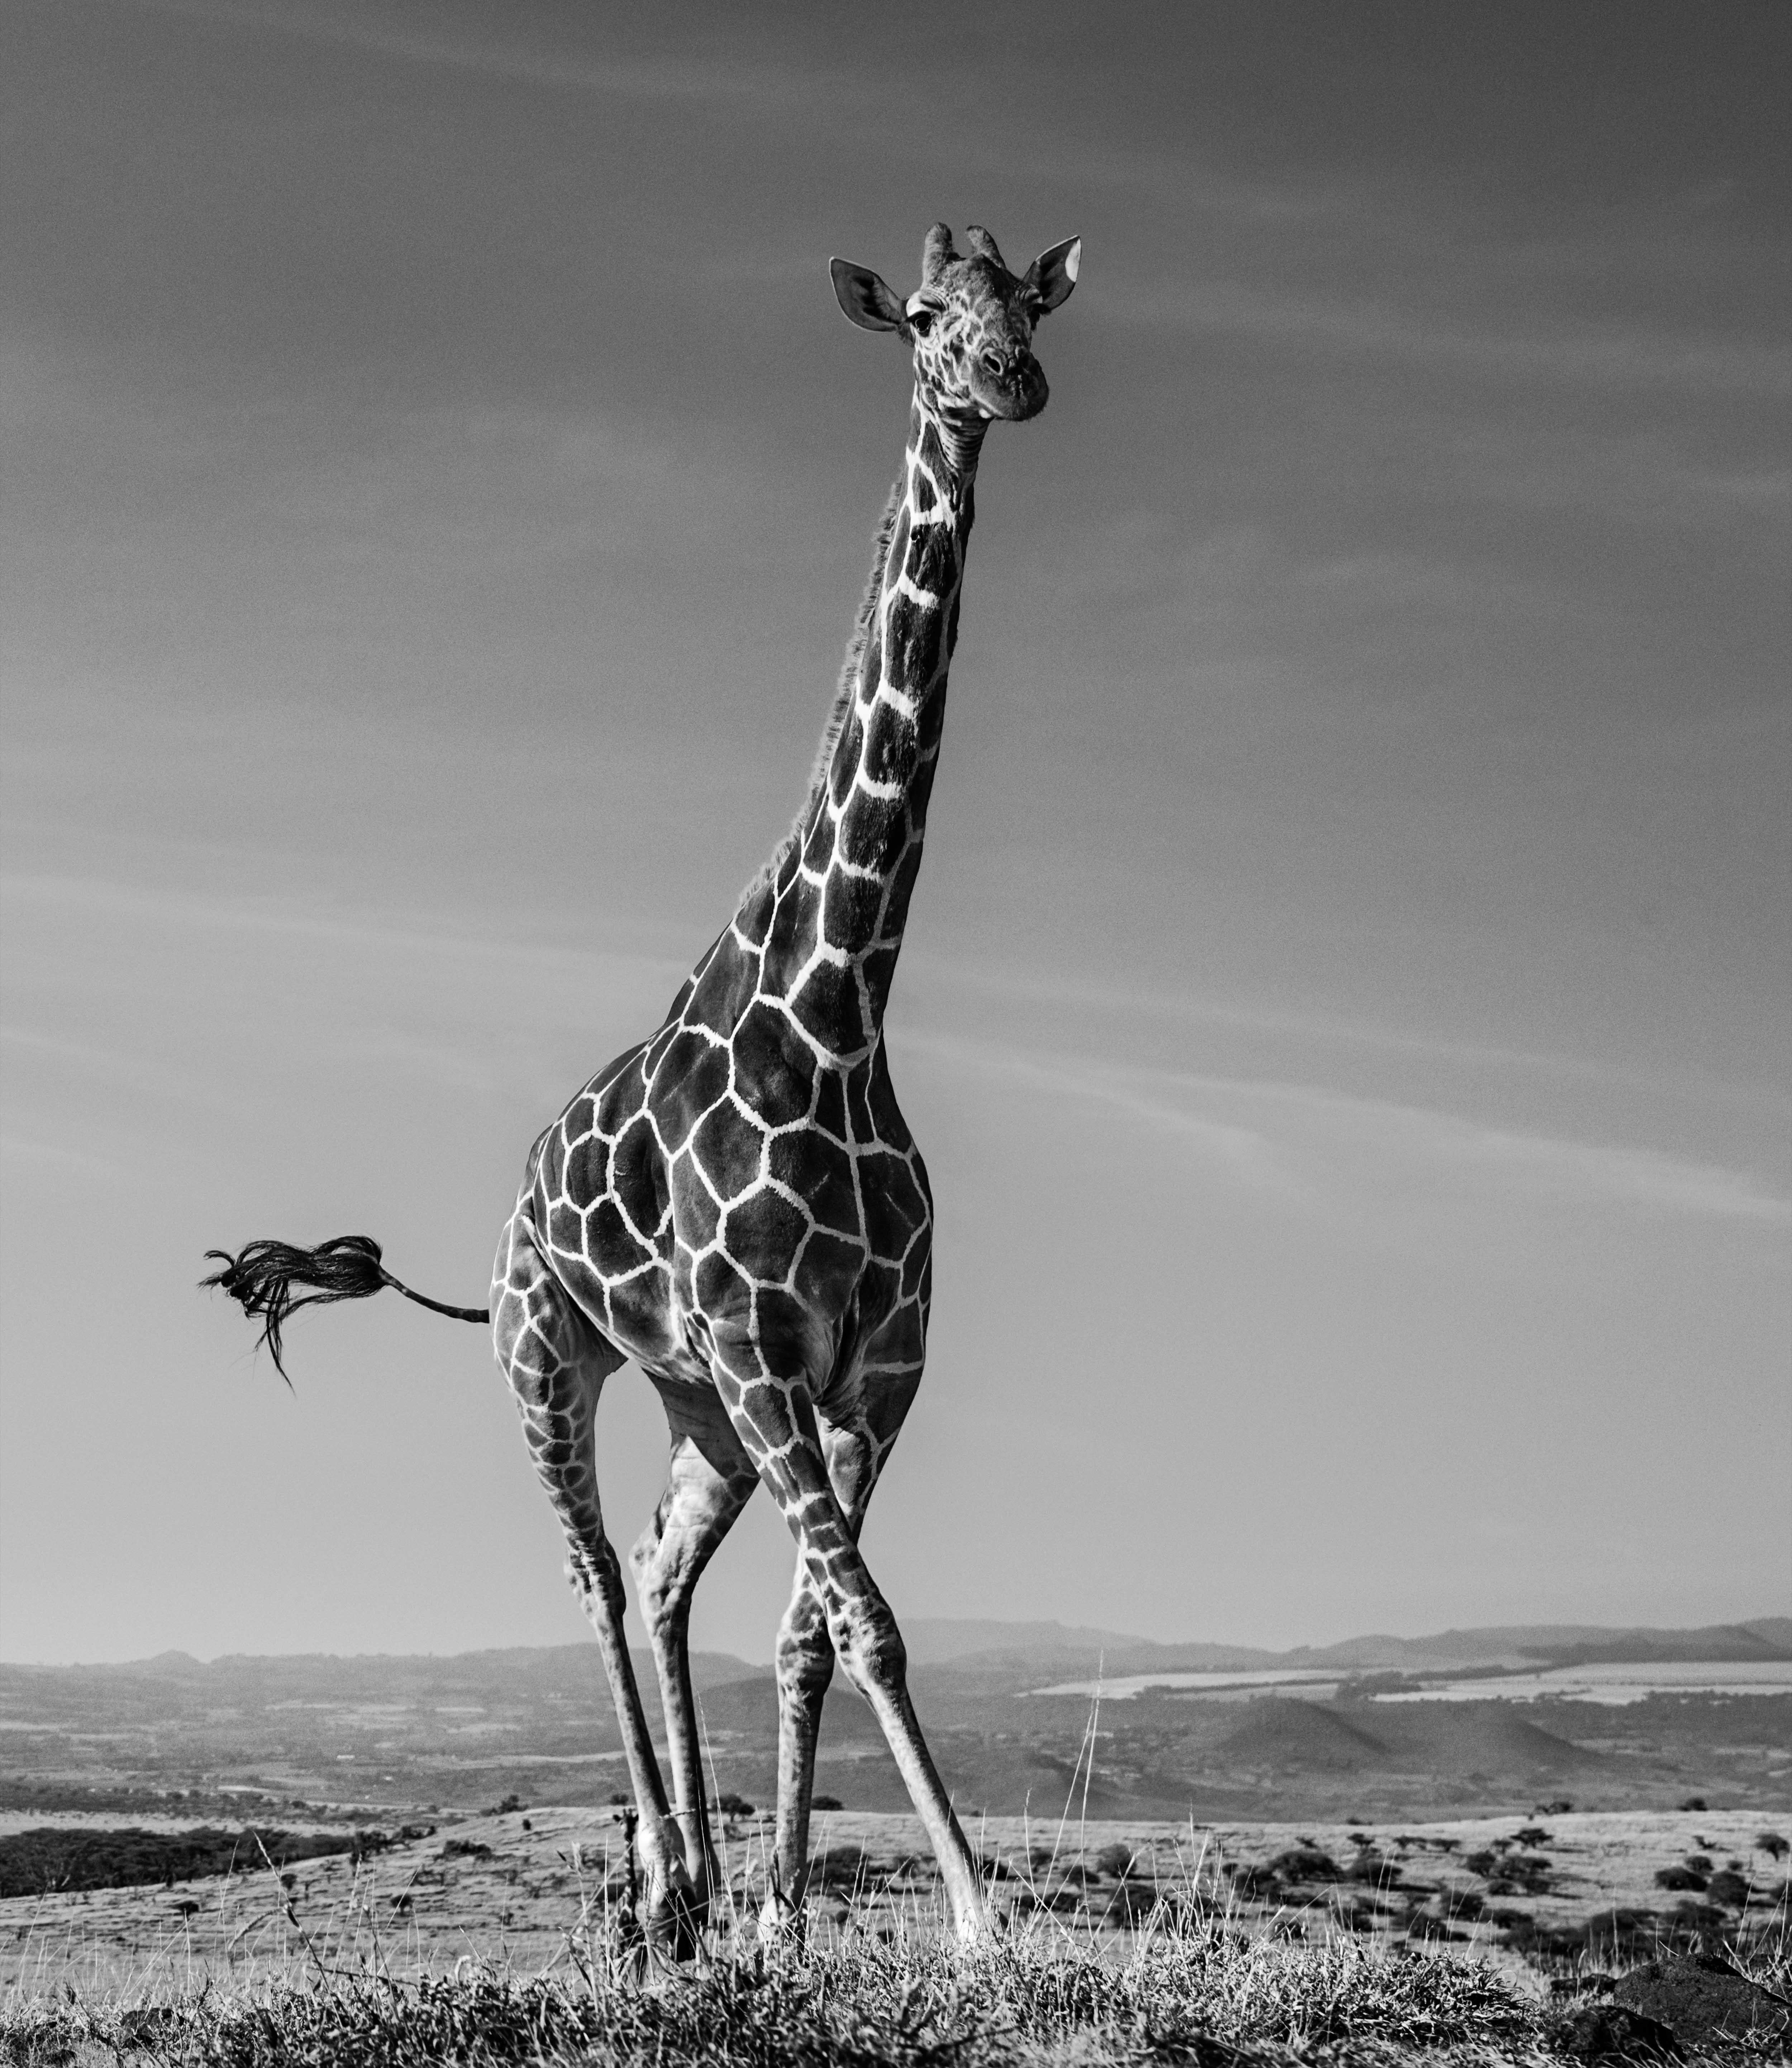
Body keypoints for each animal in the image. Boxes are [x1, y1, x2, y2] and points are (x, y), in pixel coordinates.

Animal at [205, 221, 1079, 1950]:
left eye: (1029, 301)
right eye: (923, 319)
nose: (1008, 382)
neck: (844, 1008)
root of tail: (499, 1221)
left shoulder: (874, 1365)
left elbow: (816, 1628)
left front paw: (792, 1919)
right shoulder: (765, 1347)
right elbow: (868, 1622)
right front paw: (978, 1918)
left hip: (700, 1409)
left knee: (669, 1578)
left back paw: (698, 1893)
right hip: (553, 1362)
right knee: (600, 1575)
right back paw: (663, 1874)